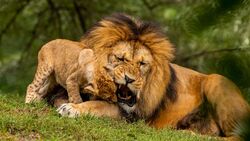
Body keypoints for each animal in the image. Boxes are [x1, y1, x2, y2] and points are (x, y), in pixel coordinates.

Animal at [56, 13, 250, 139]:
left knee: (236, 137)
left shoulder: (130, 117)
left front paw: (72, 108)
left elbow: (97, 105)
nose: (129, 79)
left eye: (142, 64)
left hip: (216, 80)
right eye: (120, 58)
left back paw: (188, 133)